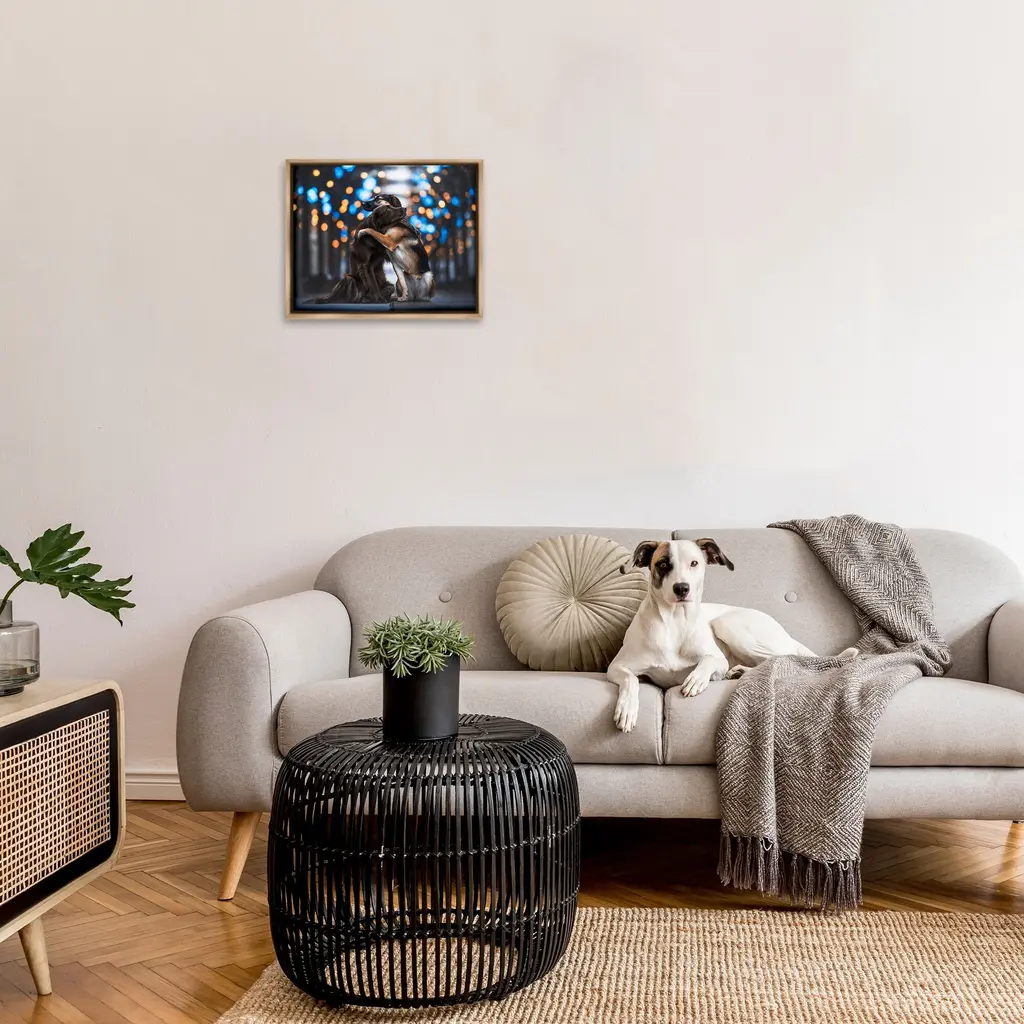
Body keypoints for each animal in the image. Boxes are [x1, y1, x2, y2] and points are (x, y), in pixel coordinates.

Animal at [607, 538, 858, 733]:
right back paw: (740, 672)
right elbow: (631, 679)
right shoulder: (617, 667)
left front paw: (696, 679)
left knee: (782, 659)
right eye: (662, 564)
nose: (682, 588)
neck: (674, 621)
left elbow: (708, 661)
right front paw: (627, 709)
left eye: (694, 563)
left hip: (727, 624)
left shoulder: (718, 661)